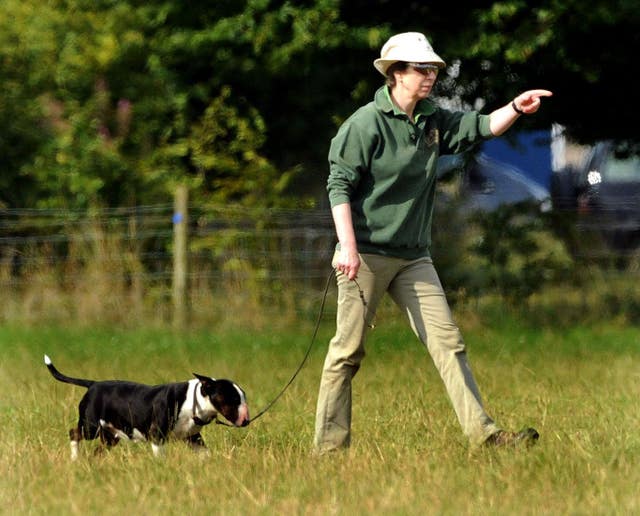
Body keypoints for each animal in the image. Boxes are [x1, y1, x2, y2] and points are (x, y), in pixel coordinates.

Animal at [44, 354, 250, 460]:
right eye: (232, 398)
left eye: (243, 396)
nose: (246, 420)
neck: (194, 401)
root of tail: (93, 384)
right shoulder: (157, 435)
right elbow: (160, 456)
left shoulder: (193, 438)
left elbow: (206, 453)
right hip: (91, 426)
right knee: (74, 433)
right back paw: (74, 458)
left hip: (110, 436)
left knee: (98, 451)